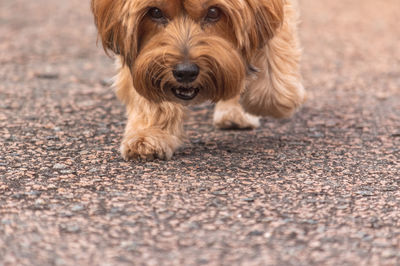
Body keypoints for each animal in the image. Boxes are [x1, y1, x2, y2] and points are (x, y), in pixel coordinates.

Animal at [90, 0, 304, 160]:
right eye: (155, 12)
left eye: (213, 12)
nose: (185, 72)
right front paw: (150, 133)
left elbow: (272, 48)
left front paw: (273, 101)